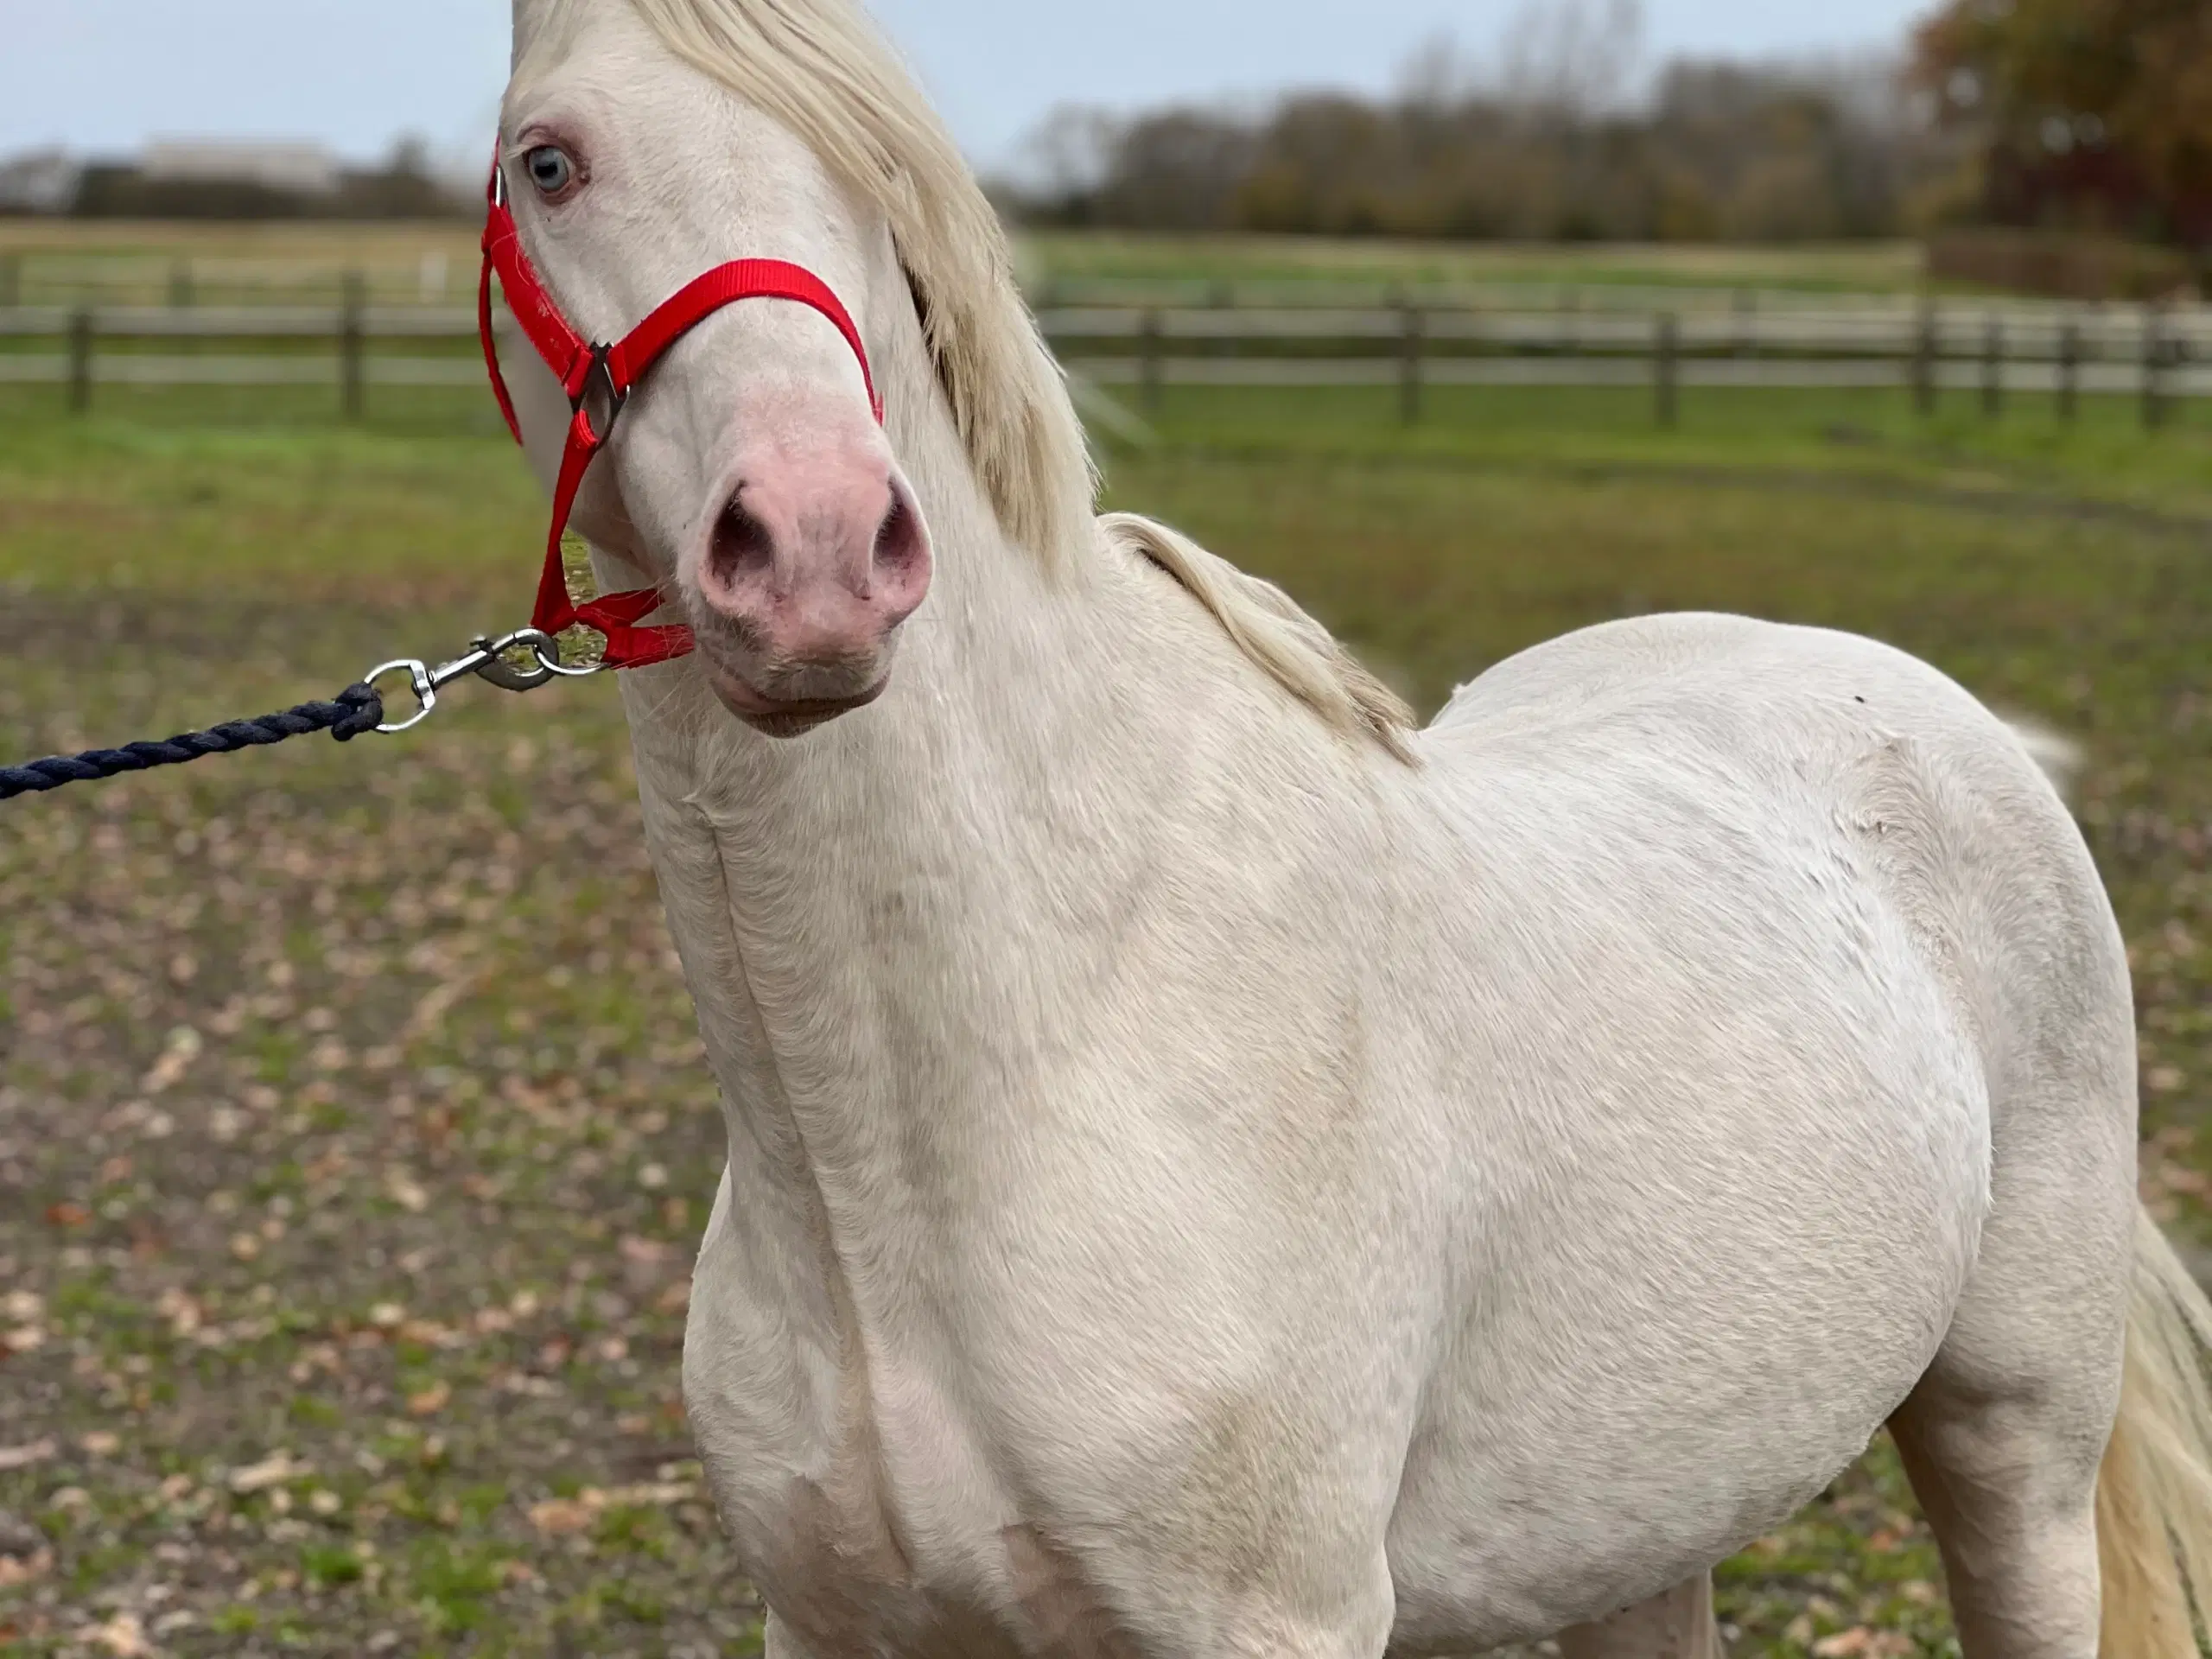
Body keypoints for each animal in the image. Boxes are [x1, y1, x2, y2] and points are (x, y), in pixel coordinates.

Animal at [498, 6, 2212, 1654]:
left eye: (885, 182)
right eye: (547, 163)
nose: (817, 551)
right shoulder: (829, 1620)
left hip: (2016, 1452)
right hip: (1641, 1524)